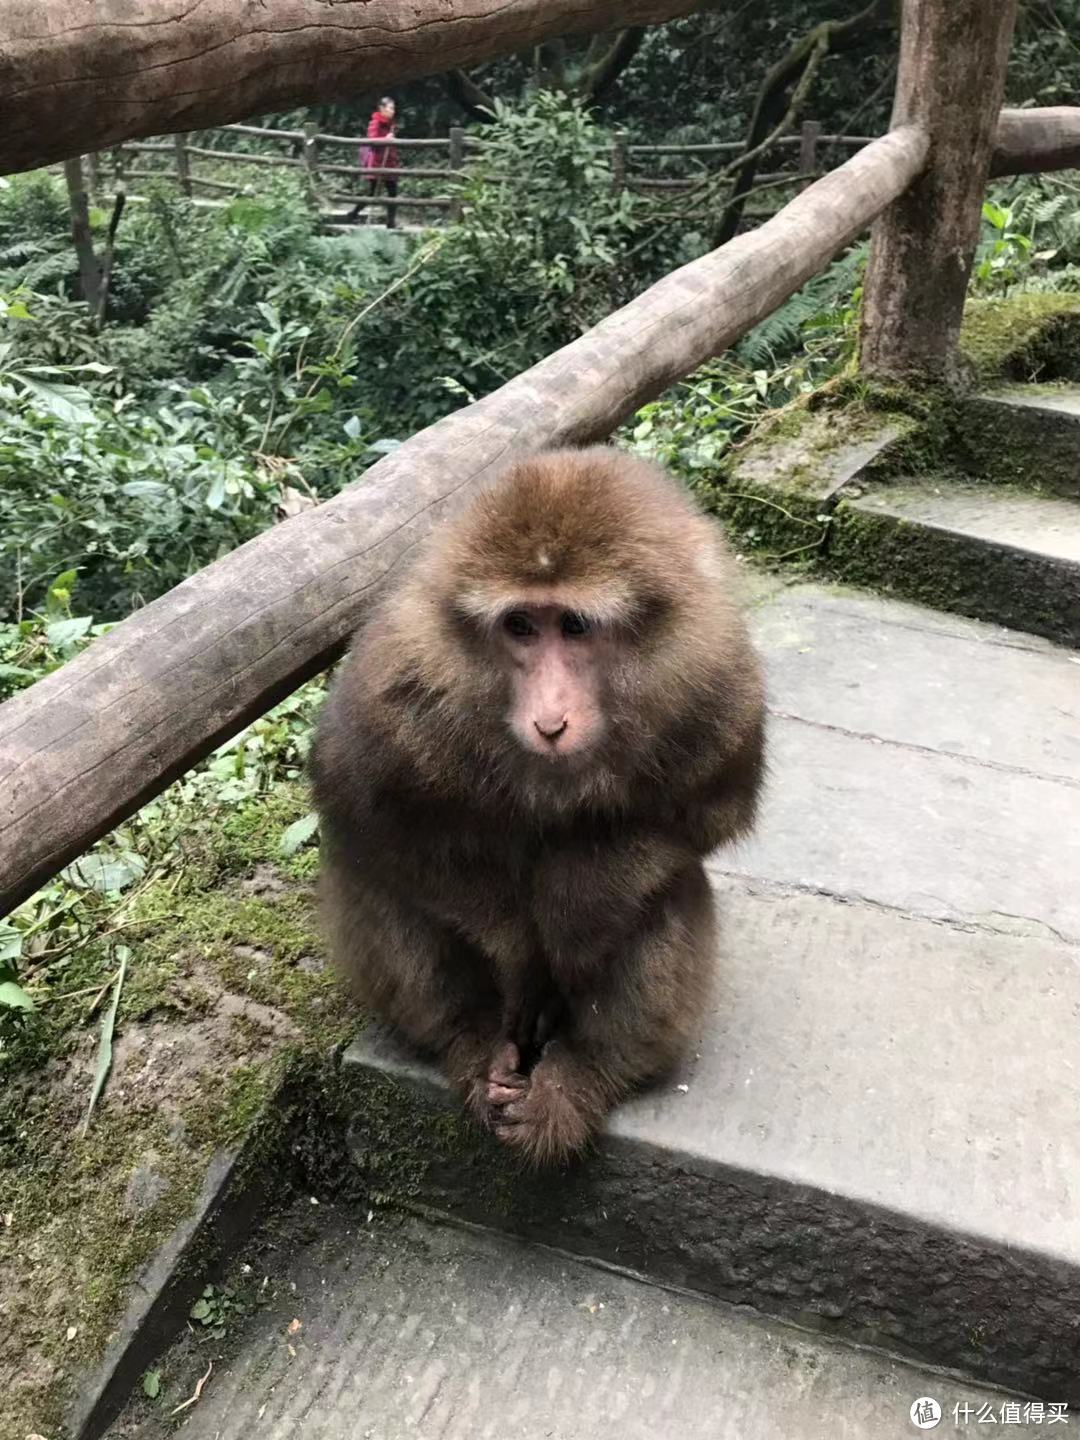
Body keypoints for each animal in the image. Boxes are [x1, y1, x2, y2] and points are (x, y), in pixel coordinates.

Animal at [311, 443, 771, 1163]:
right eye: (521, 626)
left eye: (575, 625)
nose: (549, 720)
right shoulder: (403, 680)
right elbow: (363, 811)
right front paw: (515, 954)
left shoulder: (715, 677)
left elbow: (704, 814)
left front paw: (576, 913)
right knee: (376, 881)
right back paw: (475, 1047)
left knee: (668, 890)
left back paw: (583, 1073)